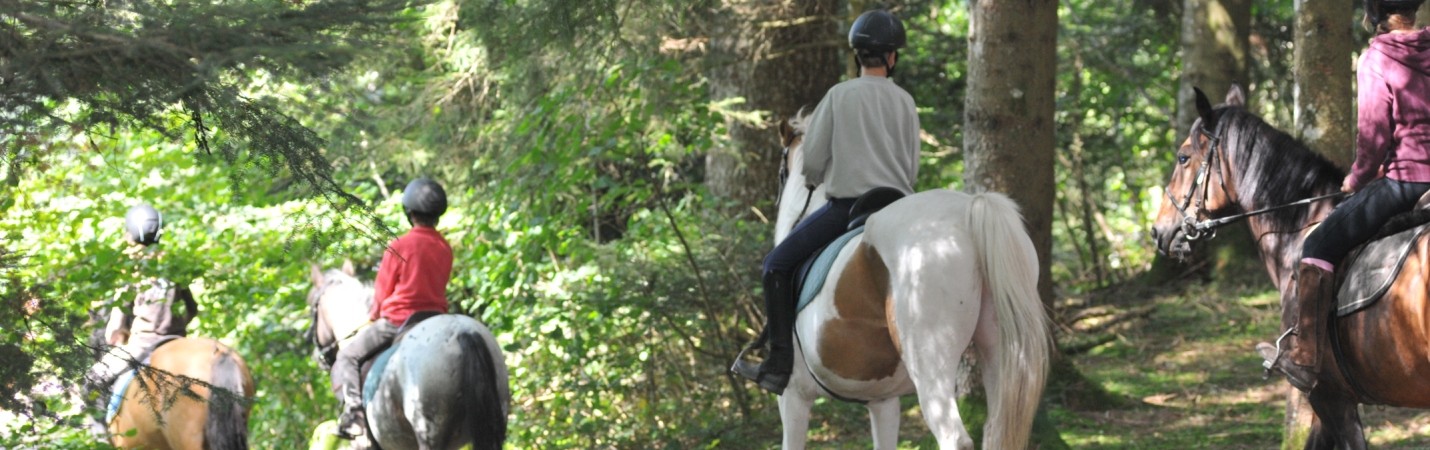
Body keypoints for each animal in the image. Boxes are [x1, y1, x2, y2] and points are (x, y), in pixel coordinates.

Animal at [772, 114, 1052, 448]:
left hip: (932, 363)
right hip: (999, 351)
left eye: (781, 171)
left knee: (954, 436)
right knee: (995, 430)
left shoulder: (793, 395)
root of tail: (969, 209)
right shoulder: (883, 402)